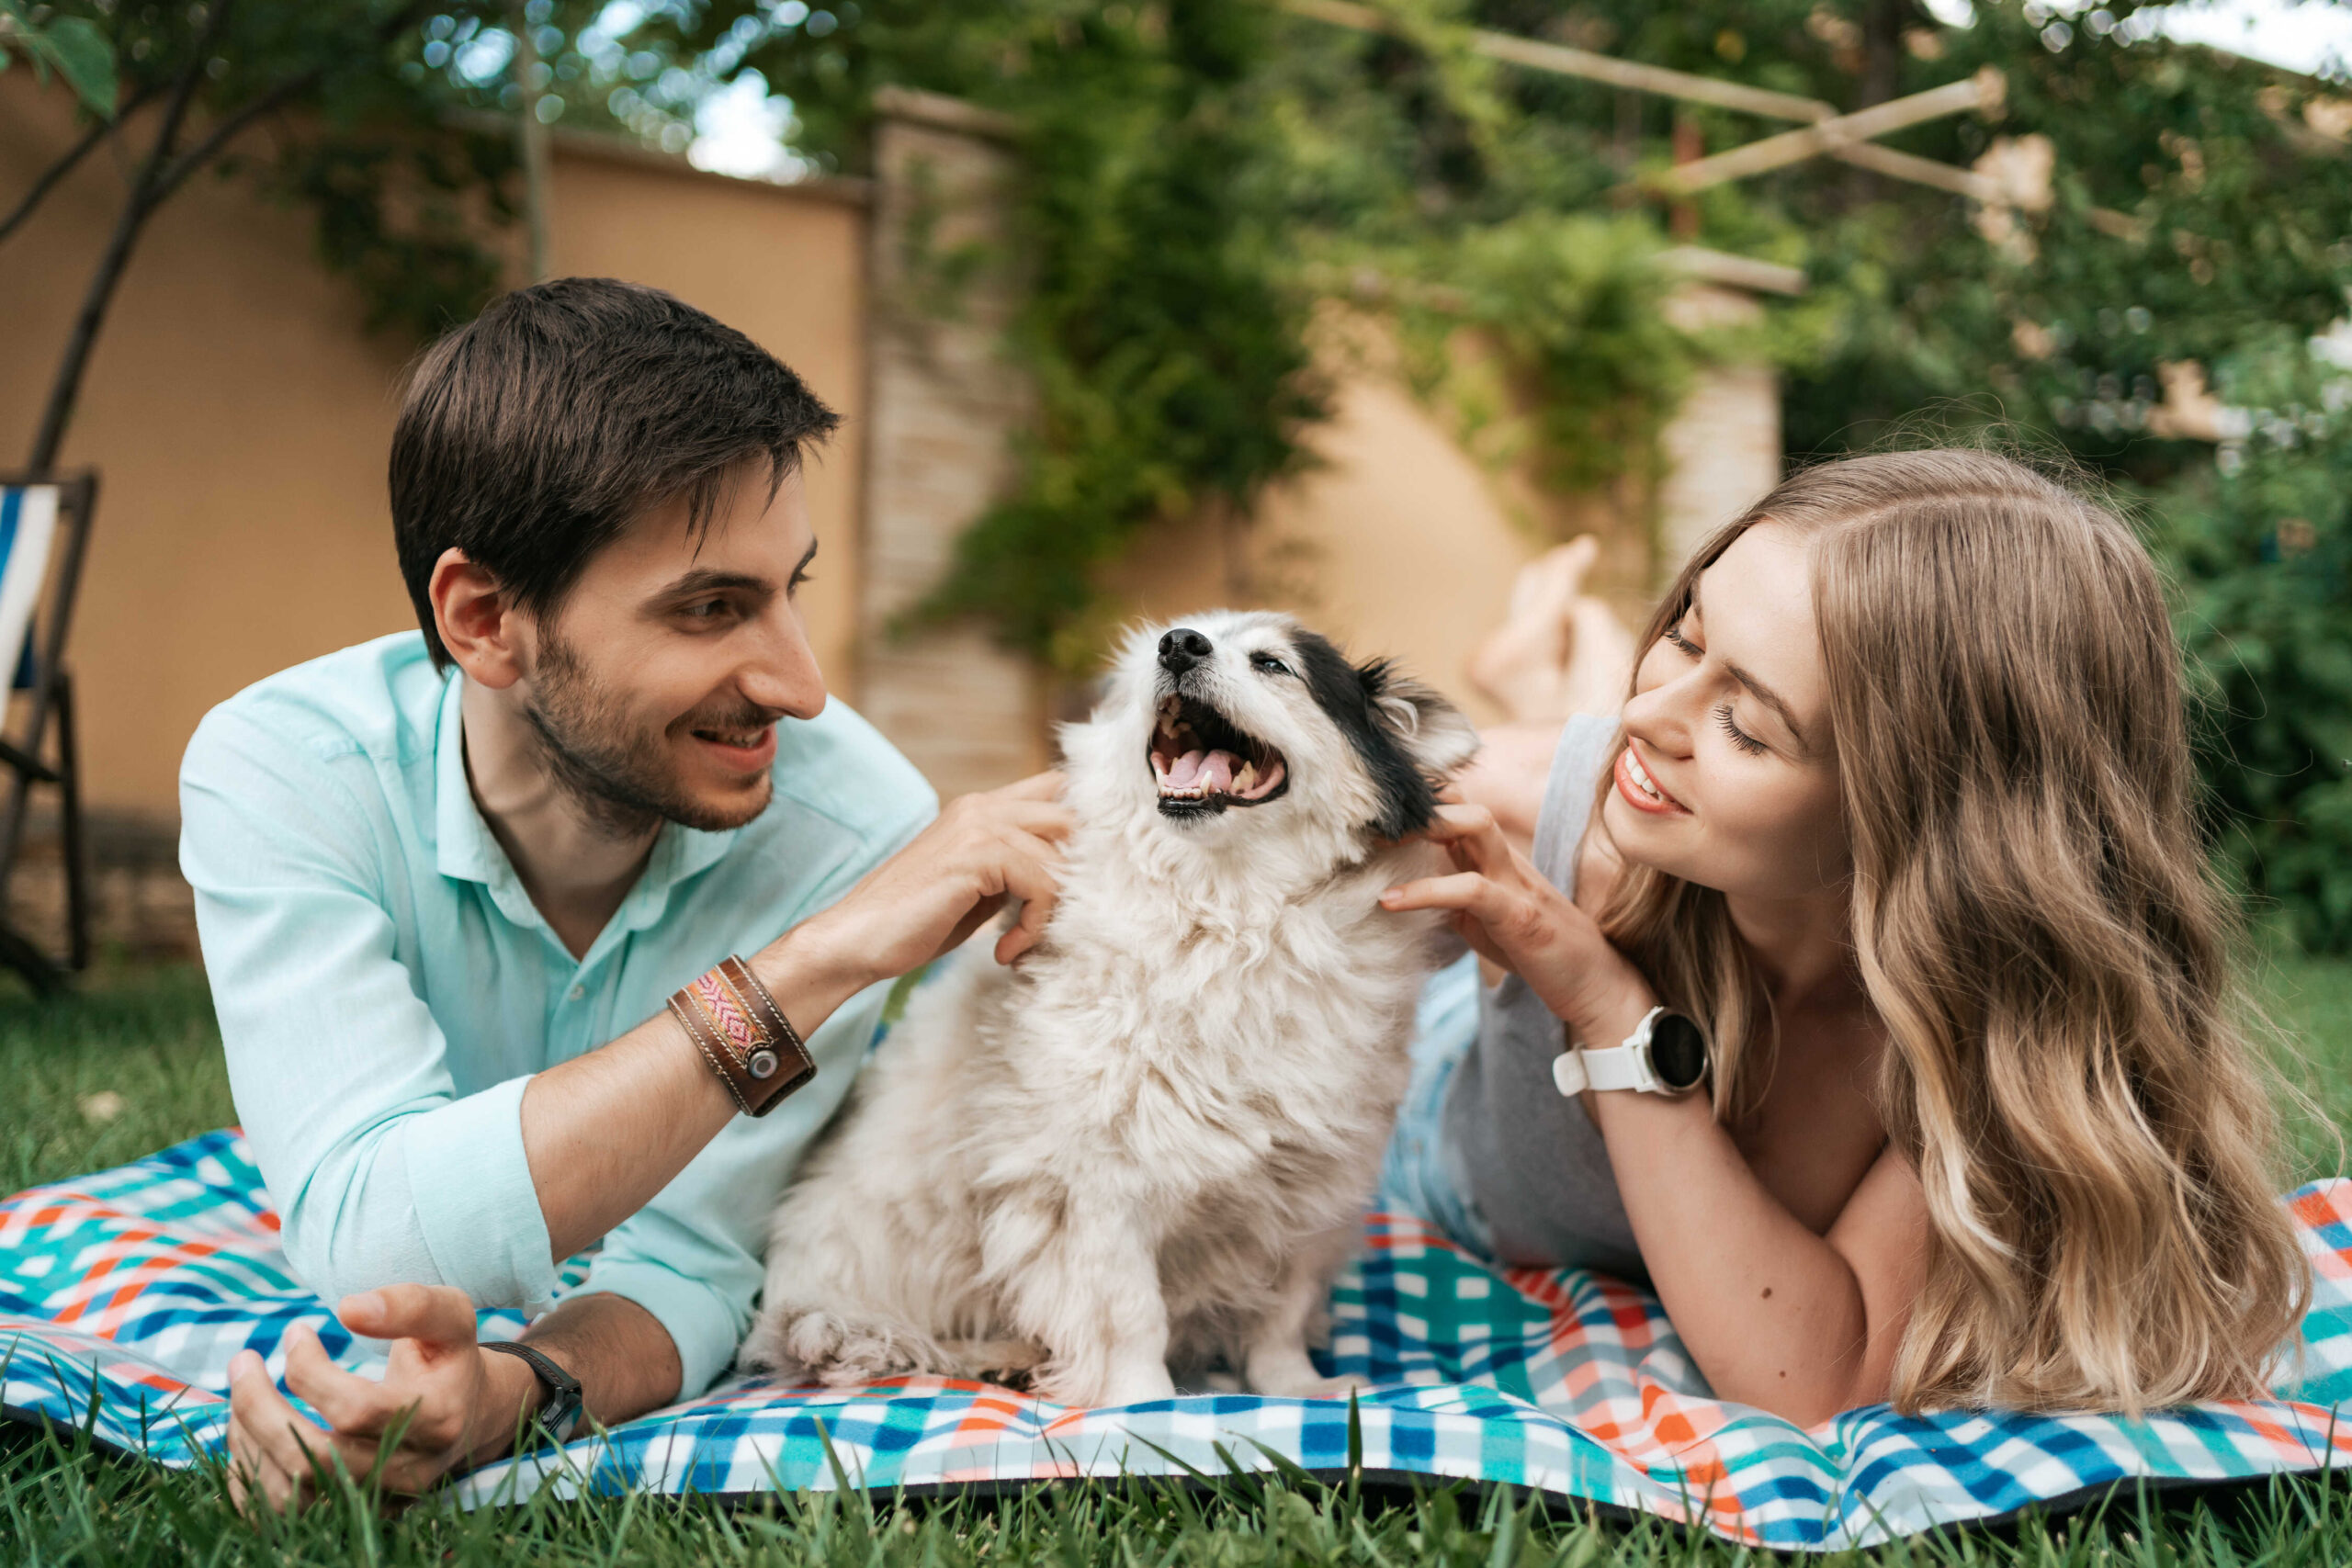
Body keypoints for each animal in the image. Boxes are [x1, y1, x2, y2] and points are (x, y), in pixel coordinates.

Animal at [738, 606, 1467, 1401]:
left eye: (1273, 665)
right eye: (1170, 644)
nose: (1178, 645)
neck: (1228, 919)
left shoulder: (1307, 1192)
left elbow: (1281, 1313)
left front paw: (1298, 1390)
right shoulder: (1094, 1187)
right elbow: (1128, 1316)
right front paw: (1145, 1407)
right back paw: (997, 1357)